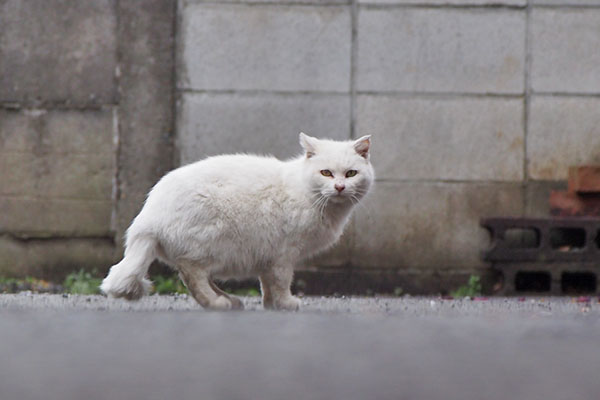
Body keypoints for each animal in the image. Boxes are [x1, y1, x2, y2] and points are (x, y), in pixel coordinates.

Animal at [102, 133, 376, 310]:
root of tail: (148, 215)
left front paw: (271, 305)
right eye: (326, 173)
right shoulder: (284, 253)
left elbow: (267, 283)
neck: (308, 192)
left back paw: (230, 301)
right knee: (192, 275)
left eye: (351, 174)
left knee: (199, 277)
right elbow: (281, 281)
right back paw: (217, 303)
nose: (339, 187)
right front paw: (286, 303)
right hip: (211, 244)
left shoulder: (270, 253)